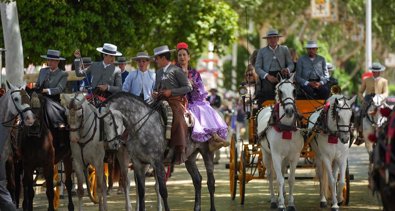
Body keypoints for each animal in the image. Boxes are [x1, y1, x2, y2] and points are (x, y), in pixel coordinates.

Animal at [258, 74, 304, 211]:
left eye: (294, 91)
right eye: (280, 91)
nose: (289, 111)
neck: (286, 127)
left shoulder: (294, 156)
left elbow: (291, 180)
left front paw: (291, 203)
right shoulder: (276, 155)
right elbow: (279, 179)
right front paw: (281, 204)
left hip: (285, 157)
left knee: (283, 173)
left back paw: (281, 195)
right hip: (266, 154)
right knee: (270, 175)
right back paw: (274, 200)